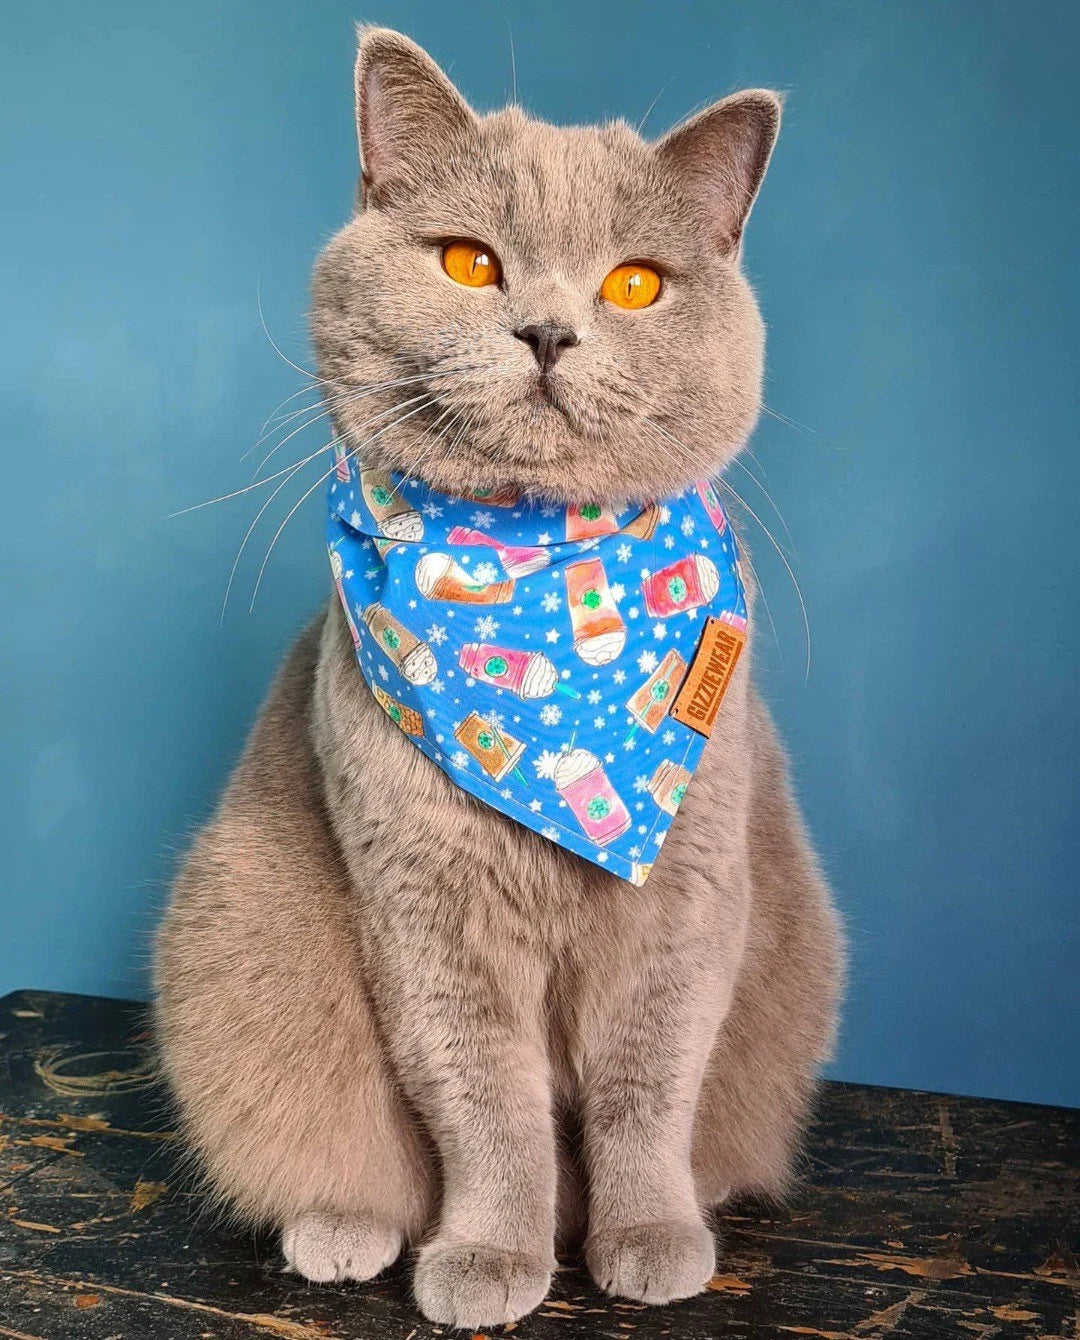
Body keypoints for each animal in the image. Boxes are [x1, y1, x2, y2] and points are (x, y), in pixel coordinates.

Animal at [152, 28, 846, 1329]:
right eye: (472, 263)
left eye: (634, 285)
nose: (547, 331)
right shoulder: (428, 918)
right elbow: (489, 1103)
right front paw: (490, 1256)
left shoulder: (686, 901)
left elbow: (644, 1087)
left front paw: (647, 1237)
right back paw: (345, 1228)